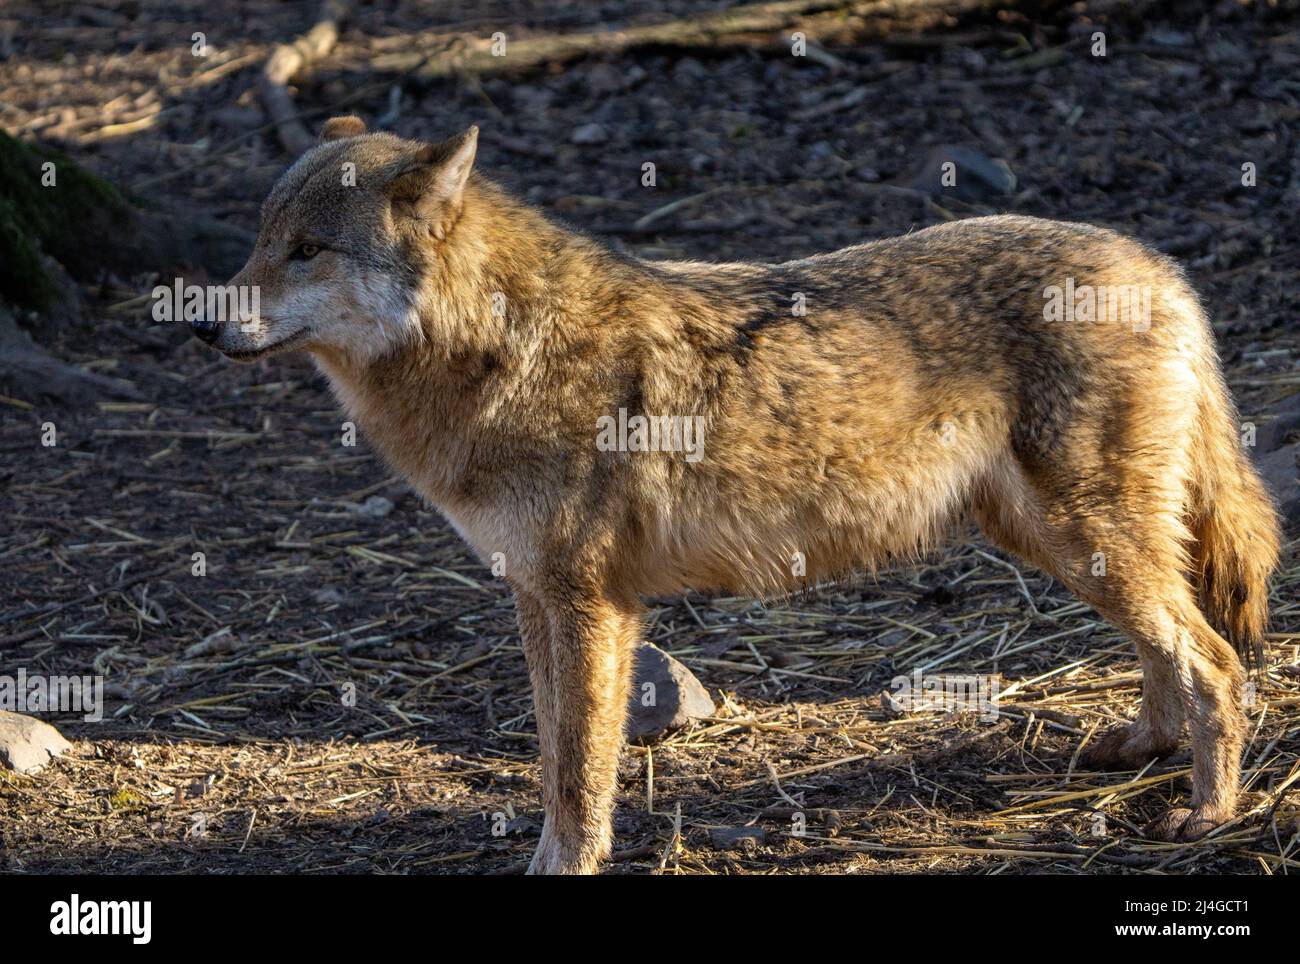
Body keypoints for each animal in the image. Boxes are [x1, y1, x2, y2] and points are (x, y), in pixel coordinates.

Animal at [197, 118, 1284, 878]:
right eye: (260, 240)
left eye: (306, 251)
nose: (204, 327)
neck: (501, 350)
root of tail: (1160, 266)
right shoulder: (535, 596)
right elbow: (552, 754)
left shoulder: (592, 605)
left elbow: (577, 767)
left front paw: (568, 863)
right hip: (1053, 541)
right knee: (1171, 647)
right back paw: (1141, 749)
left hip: (1079, 535)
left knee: (1217, 660)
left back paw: (1207, 812)